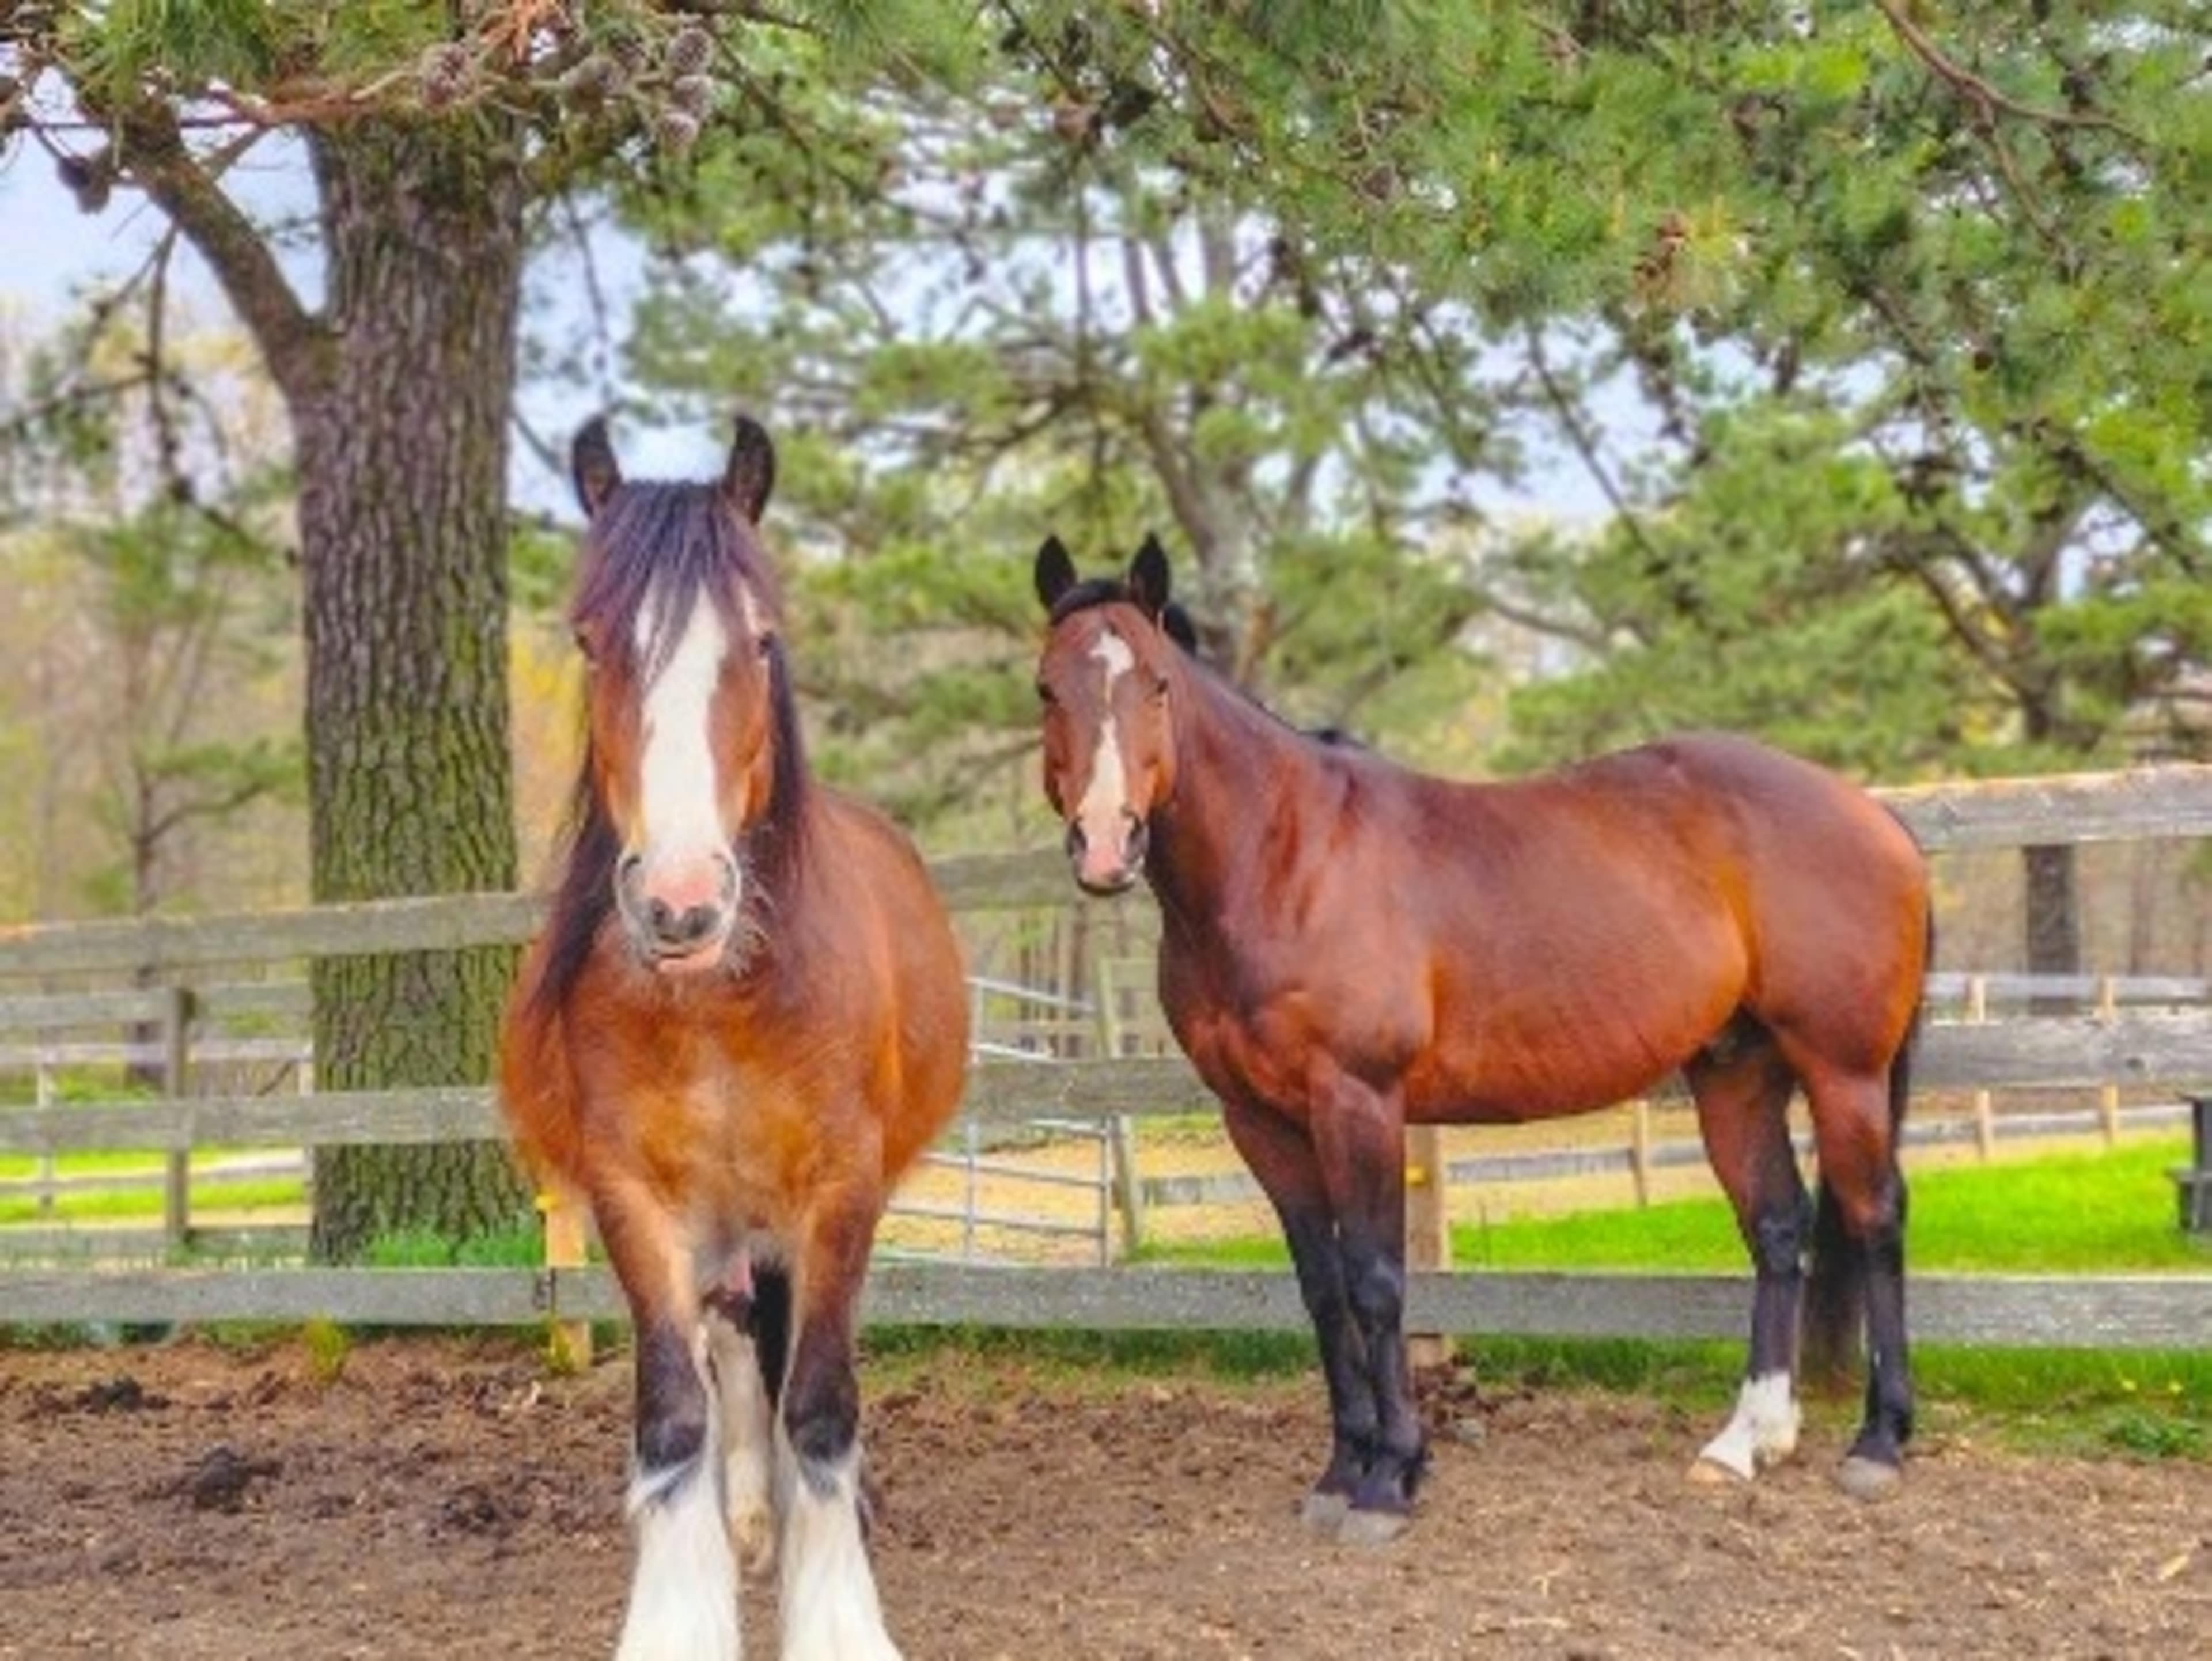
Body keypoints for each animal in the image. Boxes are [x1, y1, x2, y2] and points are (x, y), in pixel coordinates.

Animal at [499, 415, 969, 1660]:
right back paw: (753, 1514)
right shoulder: (636, 1196)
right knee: (731, 1341)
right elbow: (675, 1412)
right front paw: (684, 1613)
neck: (720, 1001)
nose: (680, 902)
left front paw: (840, 1616)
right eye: (590, 641)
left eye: (759, 639)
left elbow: (823, 1400)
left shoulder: (840, 1187)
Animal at [1031, 533, 1930, 1542]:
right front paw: (1341, 1470)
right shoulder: (1258, 1120)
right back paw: (1746, 1442)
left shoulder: (1359, 1101)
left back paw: (1879, 1442)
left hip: (1843, 1070)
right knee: (1778, 1227)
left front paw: (1391, 1479)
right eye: (1046, 688)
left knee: (1875, 1215)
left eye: (1155, 684)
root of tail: (1875, 816)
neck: (1284, 859)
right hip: (1737, 1072)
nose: (1106, 845)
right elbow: (1322, 1289)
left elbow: (1377, 1281)